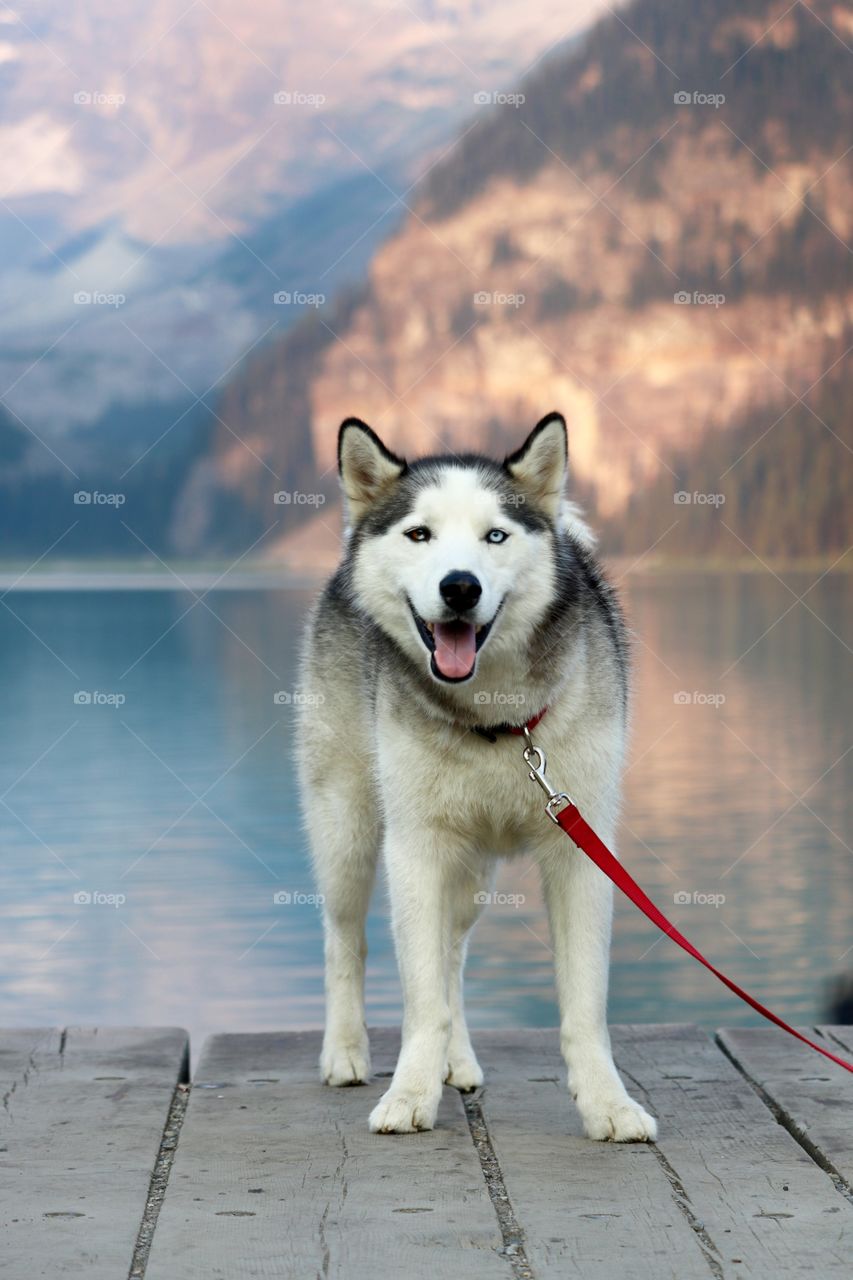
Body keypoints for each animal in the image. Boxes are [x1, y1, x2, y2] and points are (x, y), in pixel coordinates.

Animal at [298, 412, 655, 1141]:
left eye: (496, 535)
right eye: (419, 534)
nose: (459, 586)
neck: (498, 722)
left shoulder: (580, 850)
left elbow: (581, 1006)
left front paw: (607, 1104)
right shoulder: (416, 849)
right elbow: (420, 997)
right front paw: (408, 1094)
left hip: (470, 873)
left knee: (454, 956)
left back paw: (456, 1061)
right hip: (346, 827)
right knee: (345, 938)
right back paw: (345, 1051)